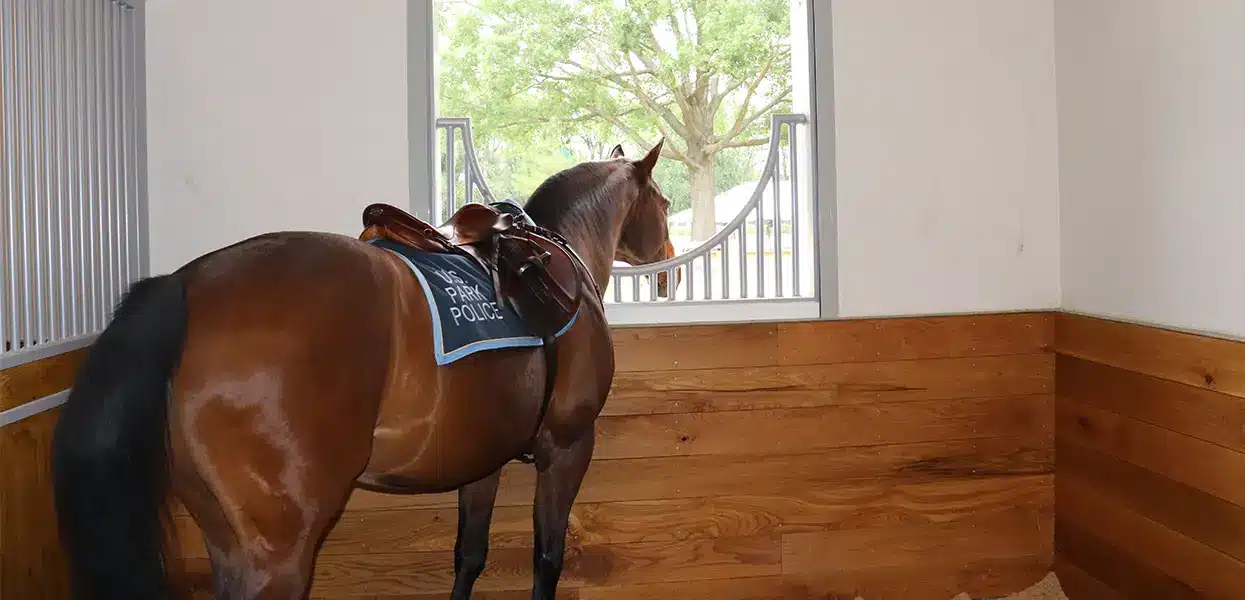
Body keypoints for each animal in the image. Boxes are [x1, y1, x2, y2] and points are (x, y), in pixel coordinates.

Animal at [50, 140, 674, 600]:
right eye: (665, 203)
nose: (669, 267)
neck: (554, 255)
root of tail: (183, 285)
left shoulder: (483, 462)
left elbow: (469, 555)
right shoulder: (567, 448)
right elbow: (547, 557)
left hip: (226, 539)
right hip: (278, 554)